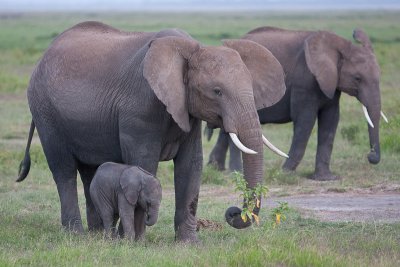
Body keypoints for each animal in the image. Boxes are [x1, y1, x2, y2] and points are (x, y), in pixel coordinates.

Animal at [17, 22, 286, 242]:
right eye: (217, 91)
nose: (232, 212)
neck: (191, 50)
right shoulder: (141, 106)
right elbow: (144, 162)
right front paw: (135, 241)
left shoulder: (186, 109)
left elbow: (191, 165)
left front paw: (188, 244)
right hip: (45, 112)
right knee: (64, 170)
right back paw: (76, 235)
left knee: (89, 171)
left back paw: (97, 234)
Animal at [208, 27, 386, 181]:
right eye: (358, 78)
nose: (370, 156)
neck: (341, 46)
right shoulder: (305, 80)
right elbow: (305, 121)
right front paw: (285, 172)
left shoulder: (331, 83)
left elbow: (331, 121)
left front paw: (326, 178)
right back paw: (232, 171)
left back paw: (216, 168)